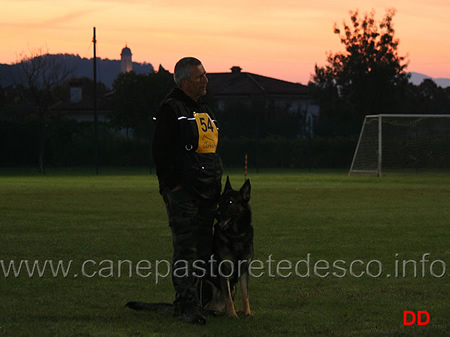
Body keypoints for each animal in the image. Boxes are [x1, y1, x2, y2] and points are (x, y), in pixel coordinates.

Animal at [126, 177, 253, 318]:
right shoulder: (224, 271)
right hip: (206, 284)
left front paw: (247, 312)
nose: (217, 214)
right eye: (219, 202)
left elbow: (245, 294)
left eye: (230, 202)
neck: (236, 235)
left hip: (232, 287)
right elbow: (228, 298)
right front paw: (232, 315)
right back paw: (213, 312)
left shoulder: (244, 270)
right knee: (204, 306)